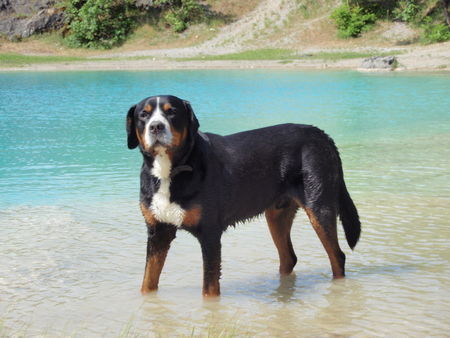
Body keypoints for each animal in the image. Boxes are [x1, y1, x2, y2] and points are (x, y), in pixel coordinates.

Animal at [125, 94, 360, 296]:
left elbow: (209, 289)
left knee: (337, 257)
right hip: (277, 215)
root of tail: (322, 135)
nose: (156, 126)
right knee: (289, 258)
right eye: (143, 115)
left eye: (171, 112)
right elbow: (148, 281)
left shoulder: (209, 234)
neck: (171, 170)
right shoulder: (158, 232)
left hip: (319, 207)